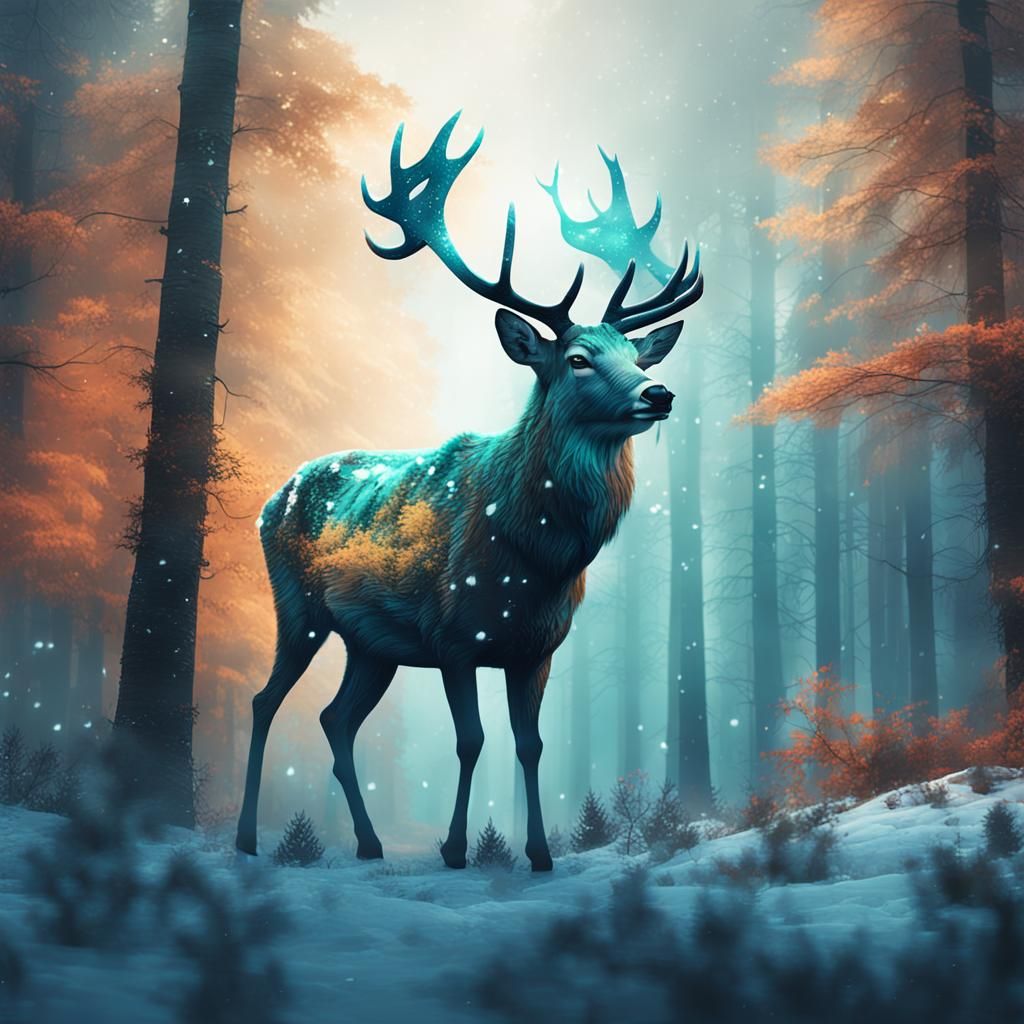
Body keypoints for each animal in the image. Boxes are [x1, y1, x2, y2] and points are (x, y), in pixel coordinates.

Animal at [235, 114, 703, 871]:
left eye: (637, 354)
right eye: (578, 358)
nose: (657, 393)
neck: (534, 555)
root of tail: (268, 500)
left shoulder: (538, 647)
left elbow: (530, 745)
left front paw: (538, 853)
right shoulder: (453, 634)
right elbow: (471, 740)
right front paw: (456, 848)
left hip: (373, 644)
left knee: (335, 718)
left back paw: (369, 842)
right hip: (297, 605)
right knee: (264, 700)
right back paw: (248, 837)